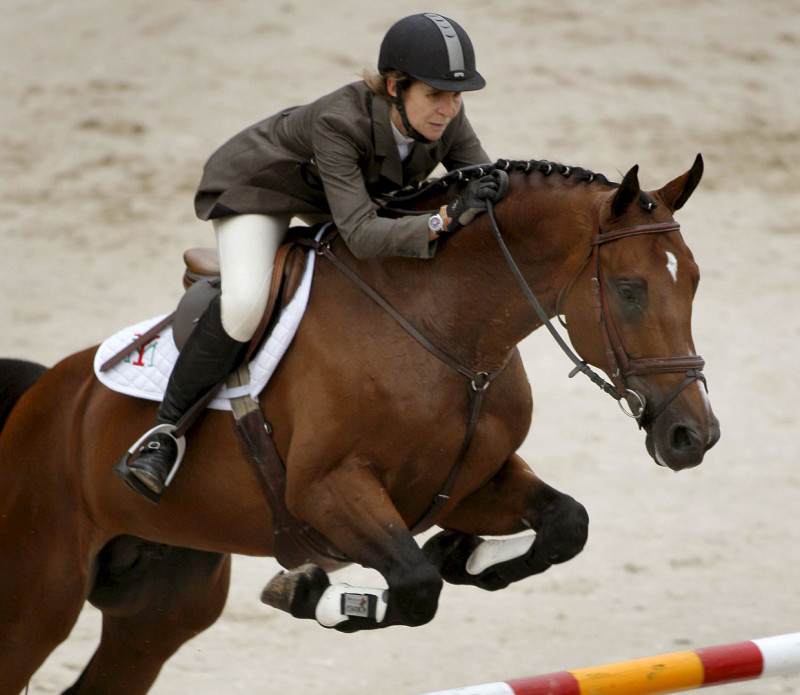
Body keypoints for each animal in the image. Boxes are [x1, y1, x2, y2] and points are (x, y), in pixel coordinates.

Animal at [0, 155, 720, 692]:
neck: (444, 329)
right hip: (37, 597)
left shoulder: (462, 486)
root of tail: (38, 397)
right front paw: (307, 590)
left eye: (694, 282)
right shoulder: (326, 492)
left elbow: (566, 523)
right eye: (629, 290)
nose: (693, 437)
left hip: (160, 607)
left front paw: (466, 556)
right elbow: (415, 587)